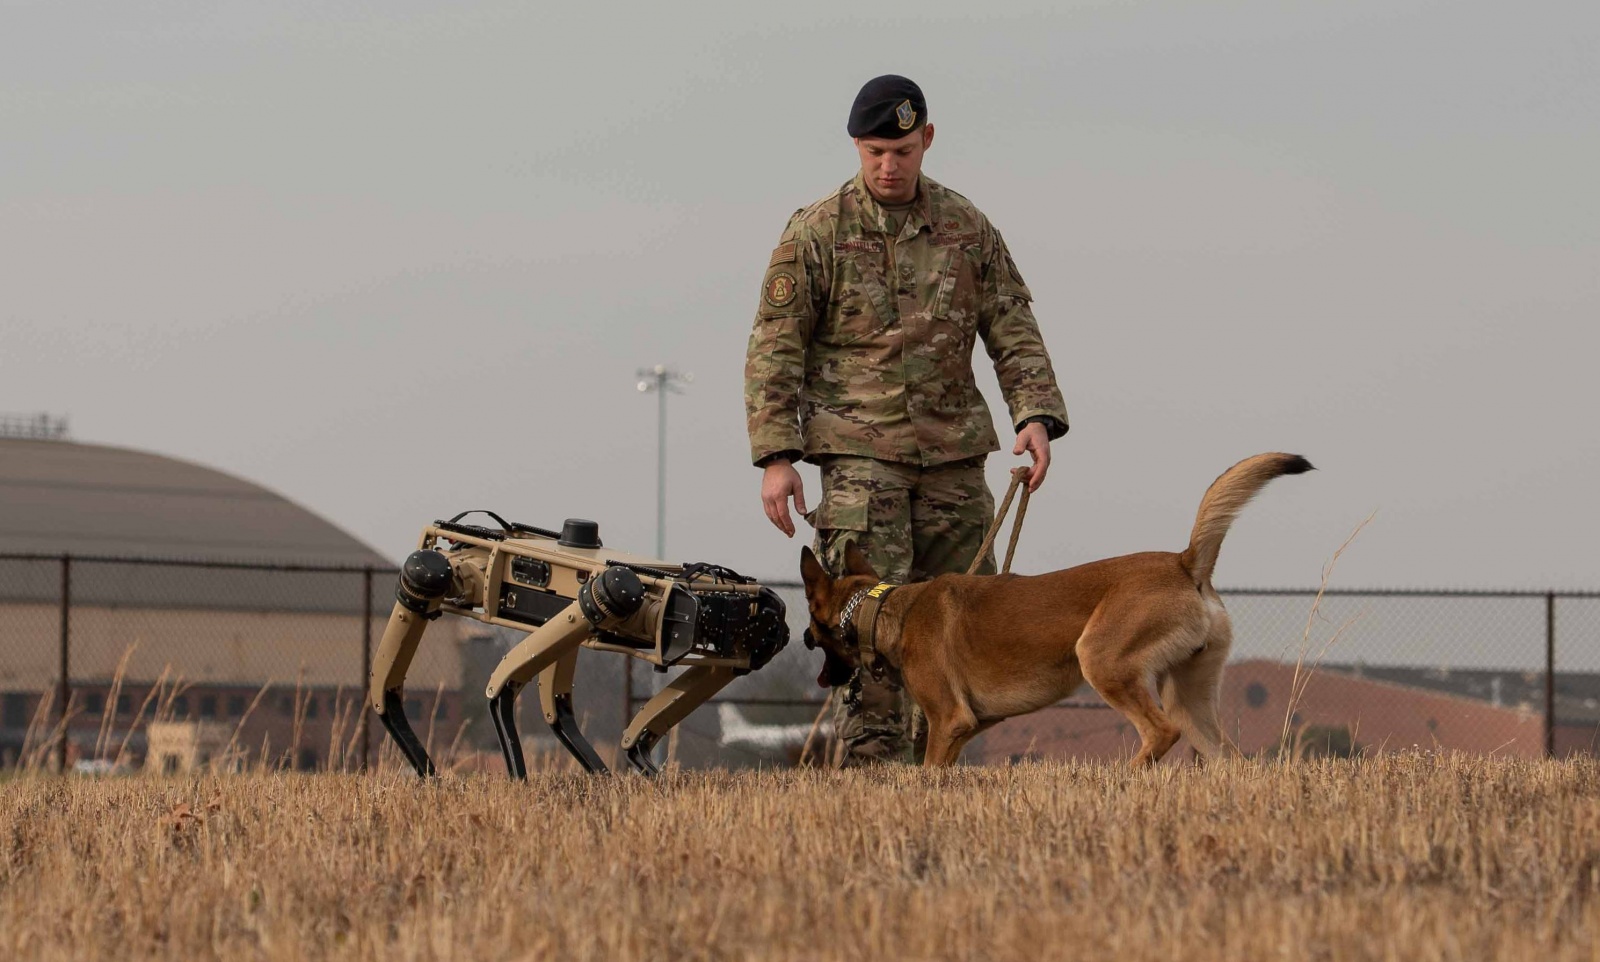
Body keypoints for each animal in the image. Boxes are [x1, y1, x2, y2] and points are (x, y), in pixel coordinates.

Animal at [800, 451, 1312, 765]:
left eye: (812, 624)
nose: (802, 637)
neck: (887, 607)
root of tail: (1184, 563)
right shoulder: (968, 727)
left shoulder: (949, 720)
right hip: (1190, 697)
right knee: (1231, 759)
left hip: (1103, 661)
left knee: (1160, 732)